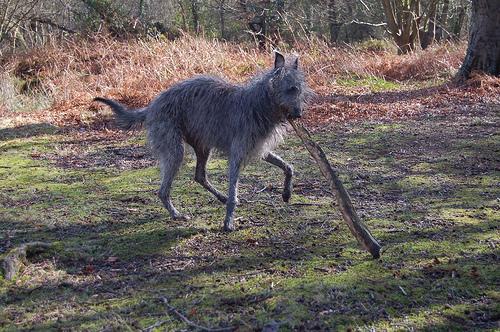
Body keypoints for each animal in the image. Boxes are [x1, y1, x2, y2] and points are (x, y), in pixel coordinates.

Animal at [94, 52, 306, 232]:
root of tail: (152, 106)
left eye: (299, 90)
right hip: (175, 149)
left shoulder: (258, 149)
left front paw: (287, 193)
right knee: (163, 190)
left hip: (203, 146)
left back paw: (220, 196)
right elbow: (234, 192)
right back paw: (177, 214)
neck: (260, 103)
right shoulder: (237, 154)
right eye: (291, 89)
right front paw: (228, 221)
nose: (299, 114)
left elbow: (288, 167)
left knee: (199, 175)